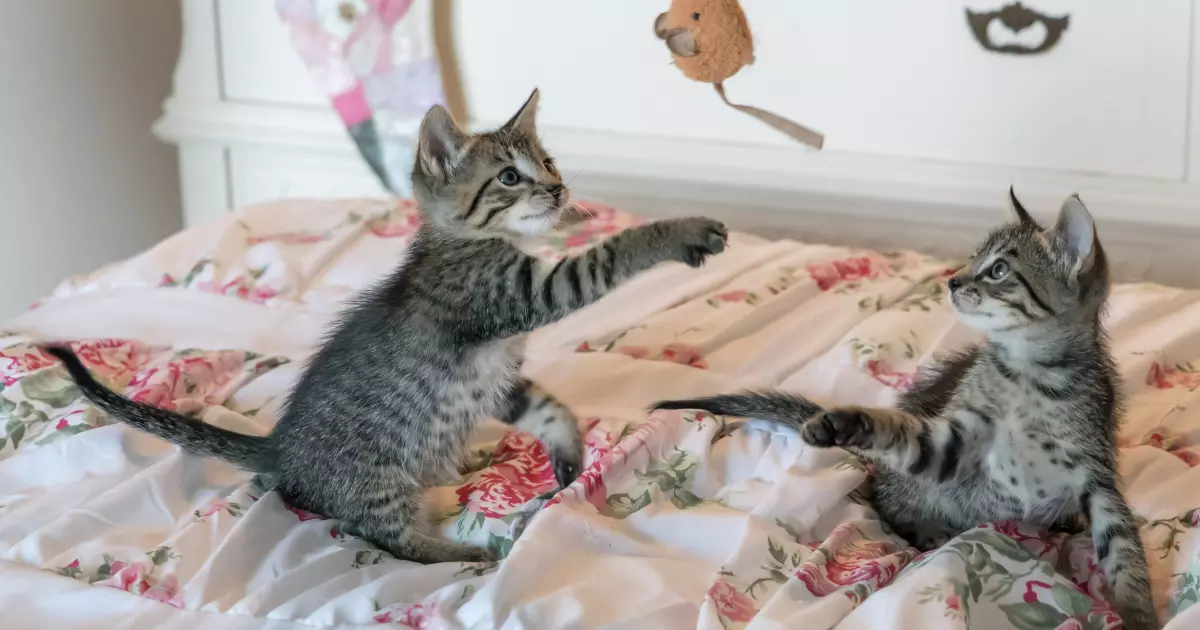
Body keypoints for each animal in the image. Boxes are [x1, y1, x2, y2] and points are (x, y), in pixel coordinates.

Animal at [44, 89, 729, 564]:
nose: (559, 190)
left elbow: (548, 406)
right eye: (510, 176)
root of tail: (280, 448)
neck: (468, 241)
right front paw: (681, 229)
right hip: (377, 483)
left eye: (548, 160)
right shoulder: (517, 297)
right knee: (390, 541)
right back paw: (465, 553)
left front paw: (568, 450)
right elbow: (609, 256)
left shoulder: (496, 375)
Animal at [662, 193, 1156, 628]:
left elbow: (1124, 551)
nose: (953, 280)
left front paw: (1138, 614)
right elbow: (899, 433)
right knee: (885, 500)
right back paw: (928, 530)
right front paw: (842, 421)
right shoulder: (953, 444)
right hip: (911, 488)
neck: (1030, 377)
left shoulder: (1097, 476)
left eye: (999, 270)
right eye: (973, 259)